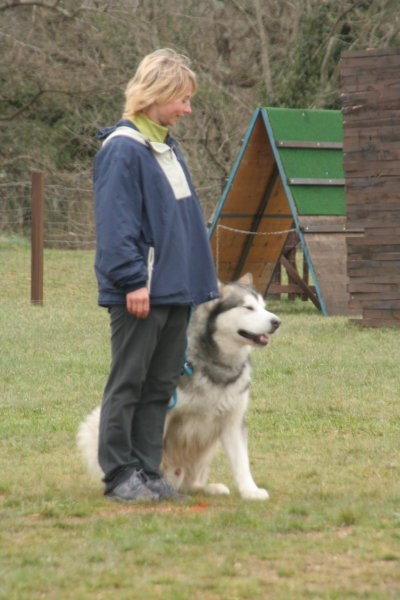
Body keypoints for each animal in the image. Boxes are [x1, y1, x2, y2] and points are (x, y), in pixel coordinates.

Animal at [76, 274, 280, 500]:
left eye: (264, 307)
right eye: (248, 307)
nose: (277, 321)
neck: (217, 364)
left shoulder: (233, 421)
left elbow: (241, 462)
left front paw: (250, 491)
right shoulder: (165, 413)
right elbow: (153, 452)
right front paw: (152, 483)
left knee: (191, 482)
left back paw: (208, 488)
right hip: (95, 424)